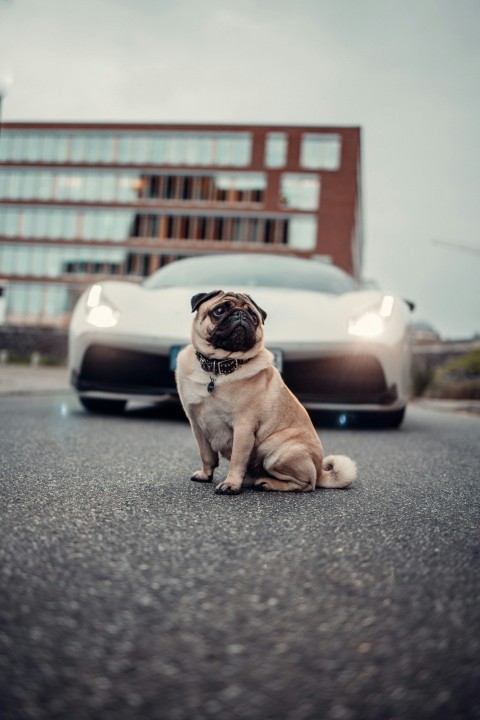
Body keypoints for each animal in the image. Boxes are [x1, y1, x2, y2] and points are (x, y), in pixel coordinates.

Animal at [176, 292, 356, 496]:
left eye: (254, 317)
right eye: (219, 310)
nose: (240, 315)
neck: (217, 368)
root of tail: (320, 471)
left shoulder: (243, 427)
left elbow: (237, 459)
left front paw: (231, 484)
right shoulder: (197, 425)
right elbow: (206, 455)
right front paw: (205, 475)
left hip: (275, 453)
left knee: (307, 484)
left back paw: (266, 483)